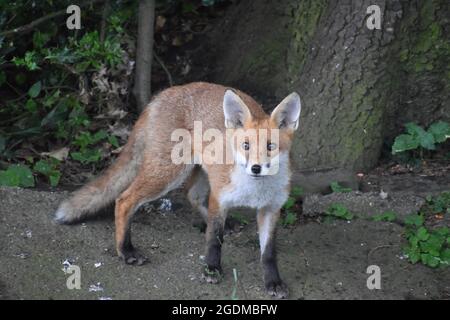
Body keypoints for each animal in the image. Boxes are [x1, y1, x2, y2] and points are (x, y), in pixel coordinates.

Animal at [56, 81, 302, 298]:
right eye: (246, 146)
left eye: (270, 146)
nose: (256, 168)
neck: (254, 191)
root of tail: (164, 93)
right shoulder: (220, 197)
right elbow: (214, 238)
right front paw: (212, 269)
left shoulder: (271, 209)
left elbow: (268, 253)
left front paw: (273, 282)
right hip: (169, 173)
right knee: (124, 199)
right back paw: (126, 251)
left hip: (197, 169)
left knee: (191, 195)